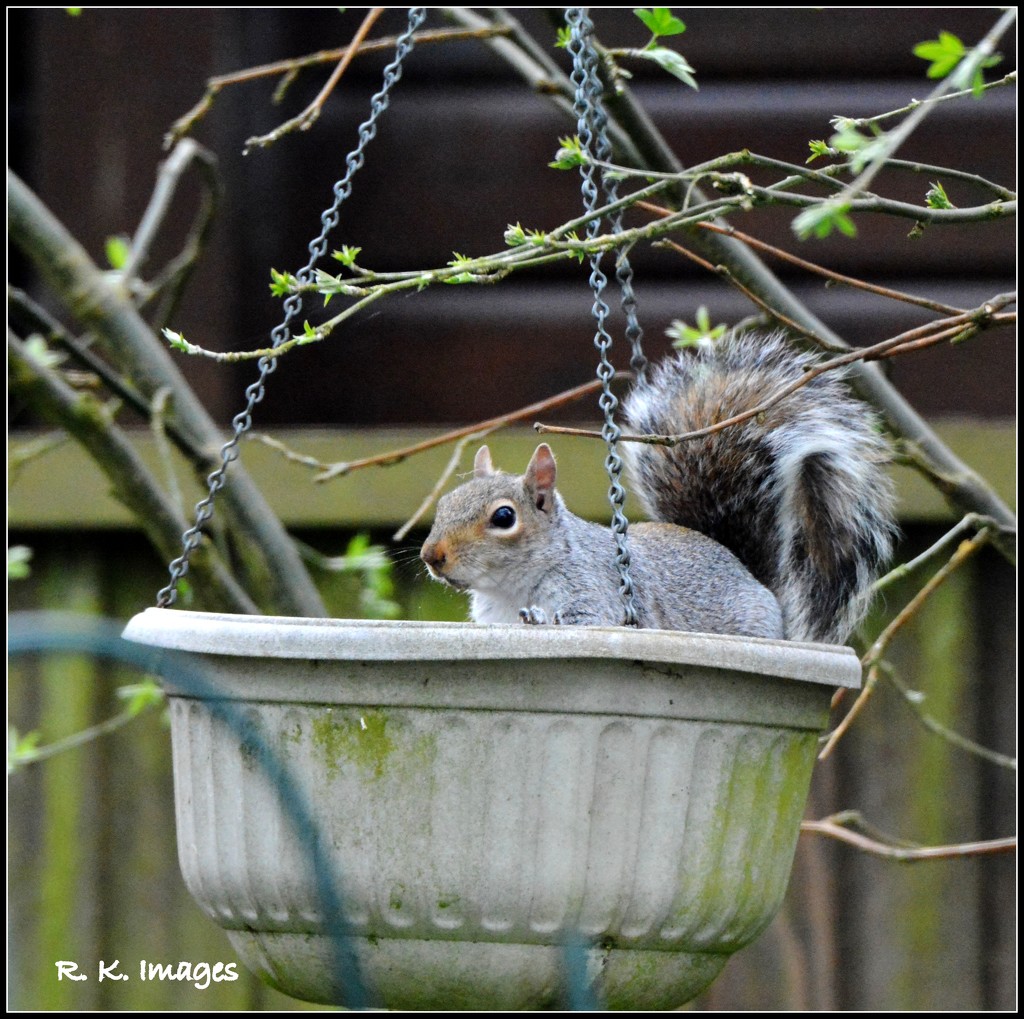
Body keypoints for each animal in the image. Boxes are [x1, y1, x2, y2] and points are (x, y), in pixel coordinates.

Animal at [419, 329, 892, 643]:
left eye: (504, 517)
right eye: (444, 505)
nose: (431, 556)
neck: (507, 588)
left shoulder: (594, 593)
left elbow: (591, 621)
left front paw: (536, 619)